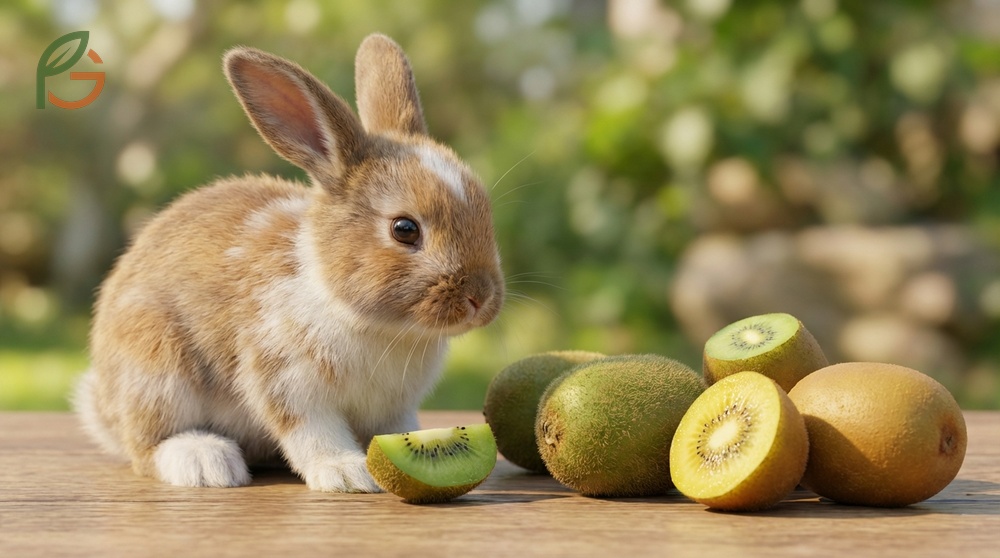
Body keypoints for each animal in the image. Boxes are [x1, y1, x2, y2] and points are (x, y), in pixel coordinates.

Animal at [73, 33, 505, 492]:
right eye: (405, 229)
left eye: (485, 211)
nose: (481, 298)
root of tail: (105, 405)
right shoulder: (287, 380)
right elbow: (311, 433)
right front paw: (346, 473)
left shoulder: (394, 408)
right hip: (155, 368)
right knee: (146, 446)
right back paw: (205, 461)